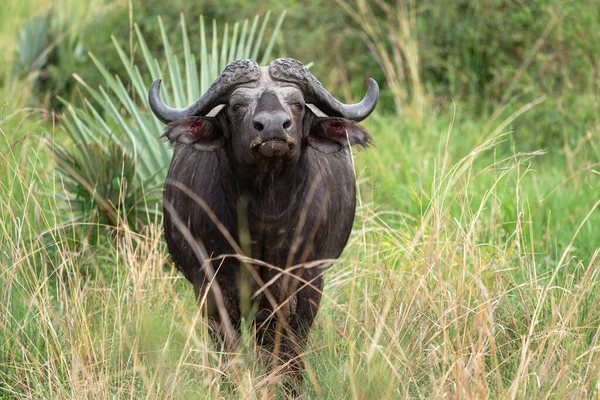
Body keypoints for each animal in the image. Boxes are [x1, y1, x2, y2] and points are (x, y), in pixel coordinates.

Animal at [148, 57, 378, 374]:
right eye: (236, 105)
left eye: (298, 103)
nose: (272, 127)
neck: (265, 218)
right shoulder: (211, 287)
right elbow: (230, 351)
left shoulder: (306, 285)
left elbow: (288, 351)